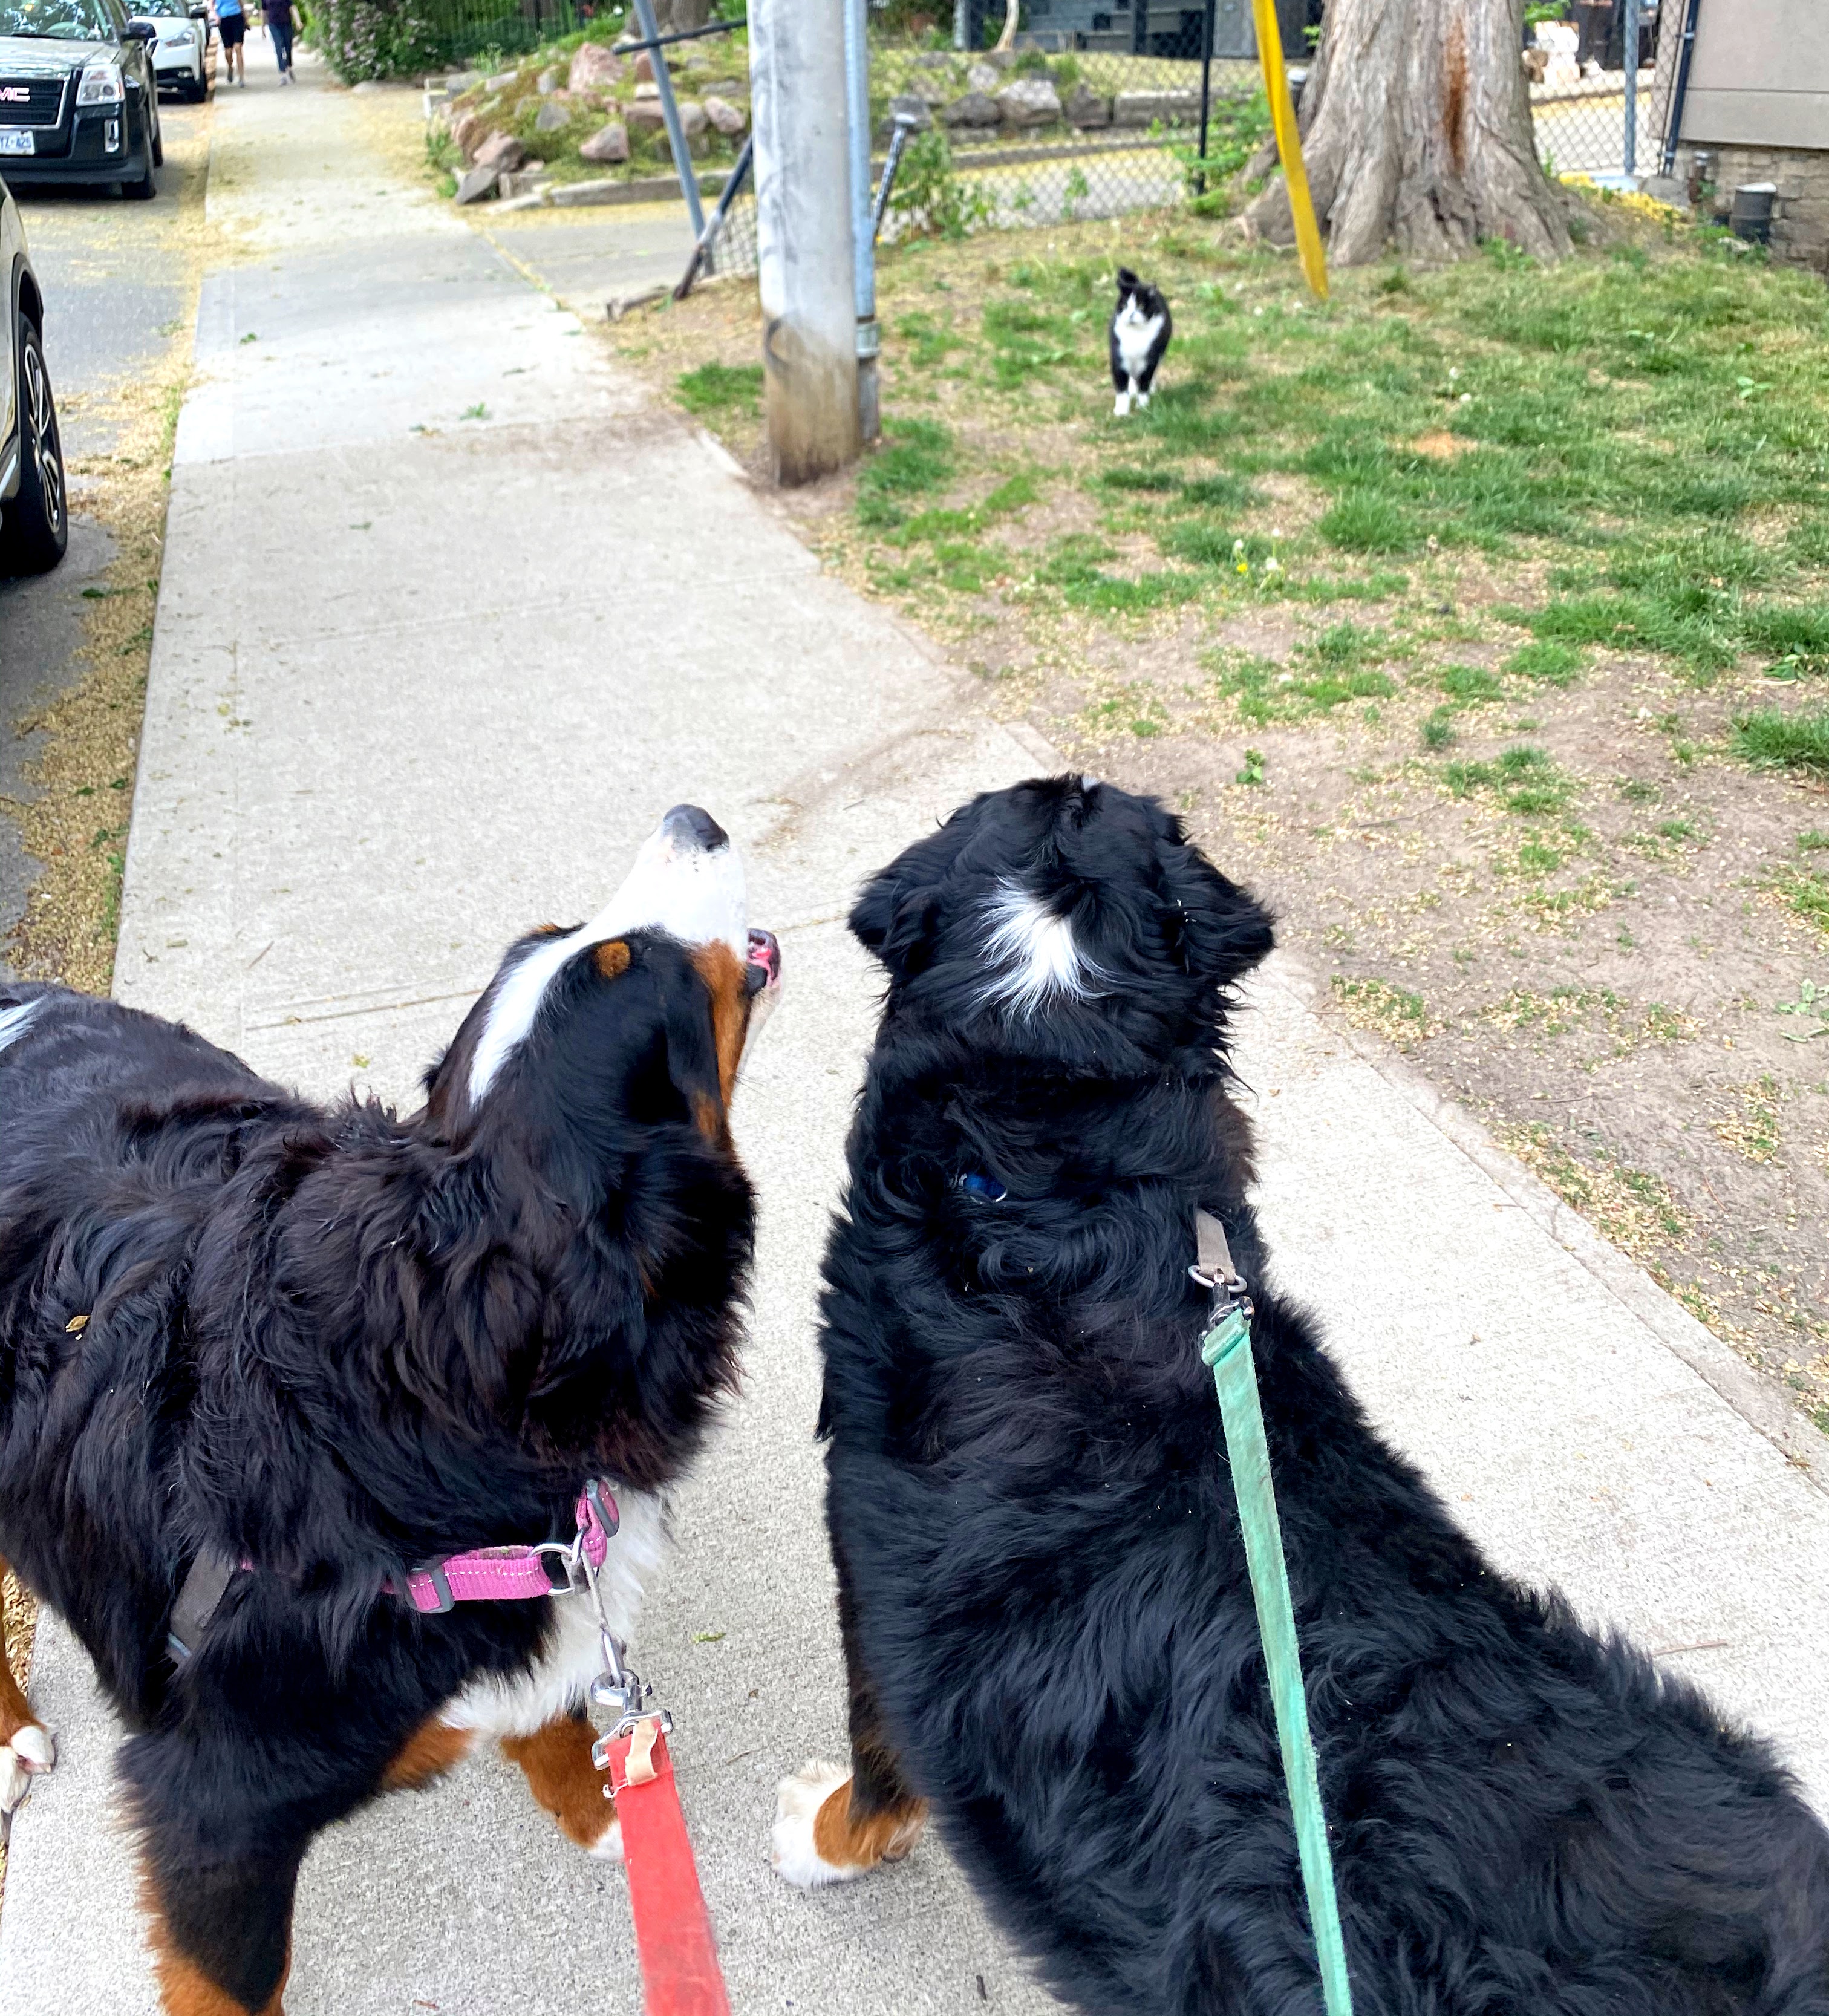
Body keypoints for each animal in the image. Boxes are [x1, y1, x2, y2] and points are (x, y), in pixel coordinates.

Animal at [0, 802, 778, 2016]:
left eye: (568, 940)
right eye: (624, 963)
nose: (691, 818)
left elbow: (556, 1716)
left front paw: (612, 1822)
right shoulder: (209, 1802)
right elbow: (230, 1979)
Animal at [1105, 268, 1169, 417]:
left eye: (1140, 305)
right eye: (1125, 305)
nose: (1130, 314)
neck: (1135, 334)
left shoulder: (1150, 361)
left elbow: (1144, 384)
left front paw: (1144, 407)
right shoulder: (1119, 359)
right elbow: (1122, 389)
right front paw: (1121, 411)